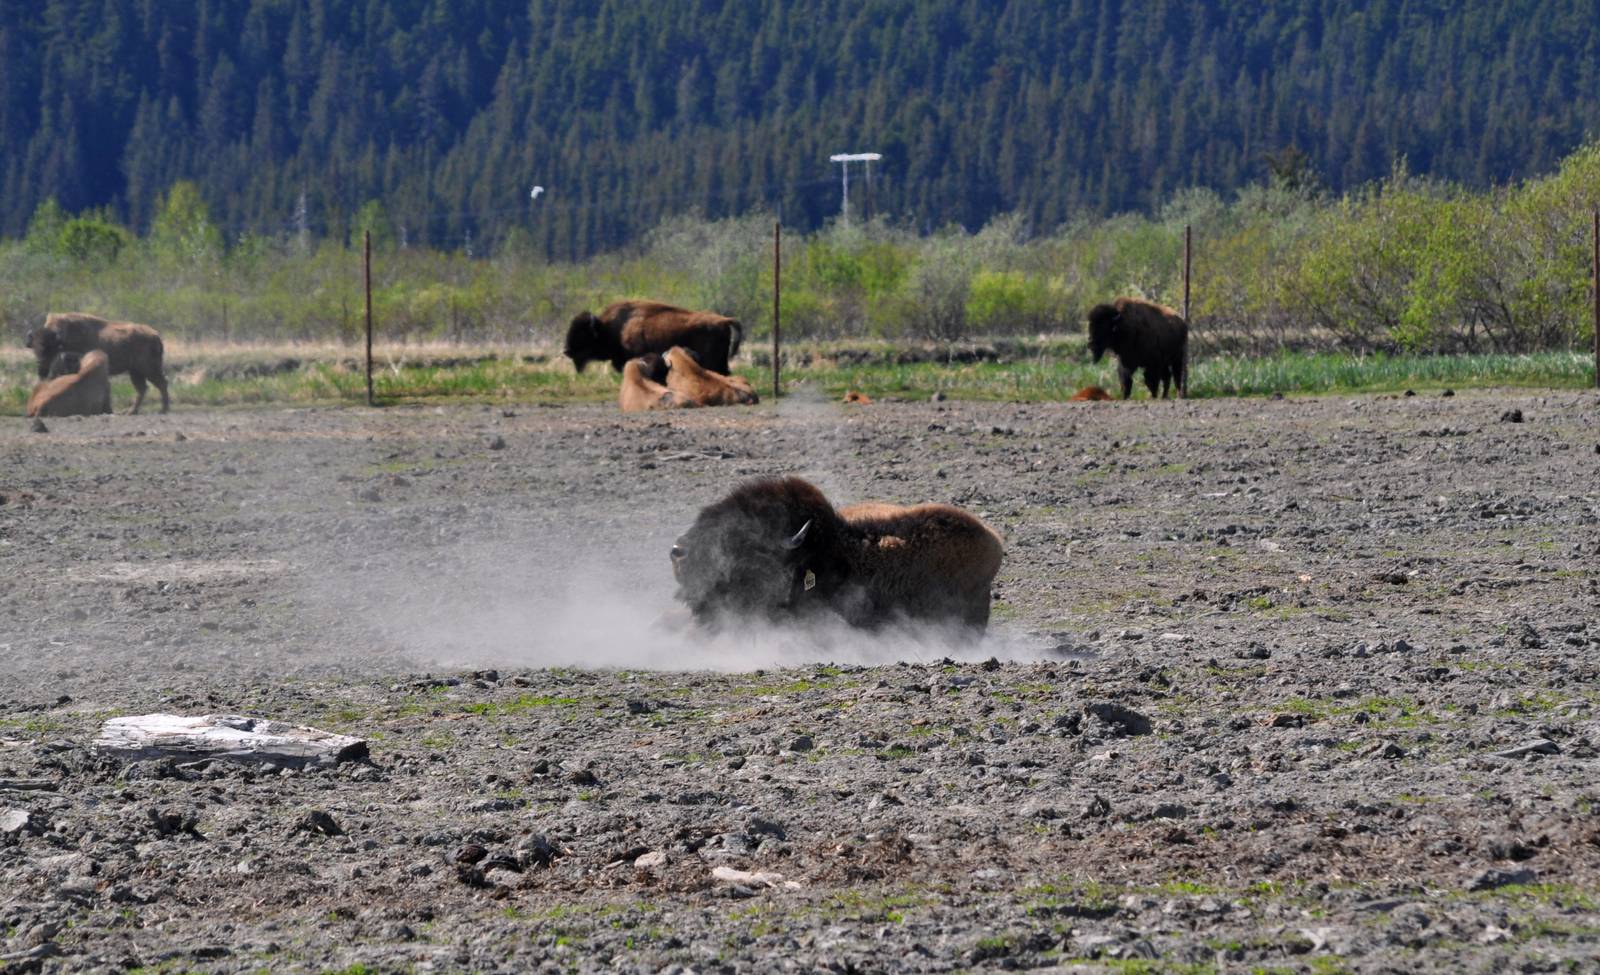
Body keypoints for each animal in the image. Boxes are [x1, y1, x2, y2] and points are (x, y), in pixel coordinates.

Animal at [26, 312, 170, 413]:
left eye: (50, 349)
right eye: (34, 348)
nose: (41, 369)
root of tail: (156, 335)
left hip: (148, 370)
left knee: (161, 384)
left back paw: (162, 410)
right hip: (135, 372)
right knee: (143, 389)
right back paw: (131, 412)